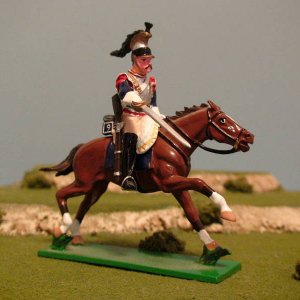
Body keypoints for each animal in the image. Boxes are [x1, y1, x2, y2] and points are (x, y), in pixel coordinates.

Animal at [42, 101, 253, 264]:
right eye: (222, 120)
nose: (249, 136)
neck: (174, 143)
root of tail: (82, 147)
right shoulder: (169, 183)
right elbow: (200, 182)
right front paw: (227, 211)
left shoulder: (178, 187)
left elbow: (192, 214)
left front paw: (213, 248)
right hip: (83, 183)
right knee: (60, 194)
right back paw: (61, 229)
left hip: (97, 187)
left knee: (84, 207)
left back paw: (70, 236)